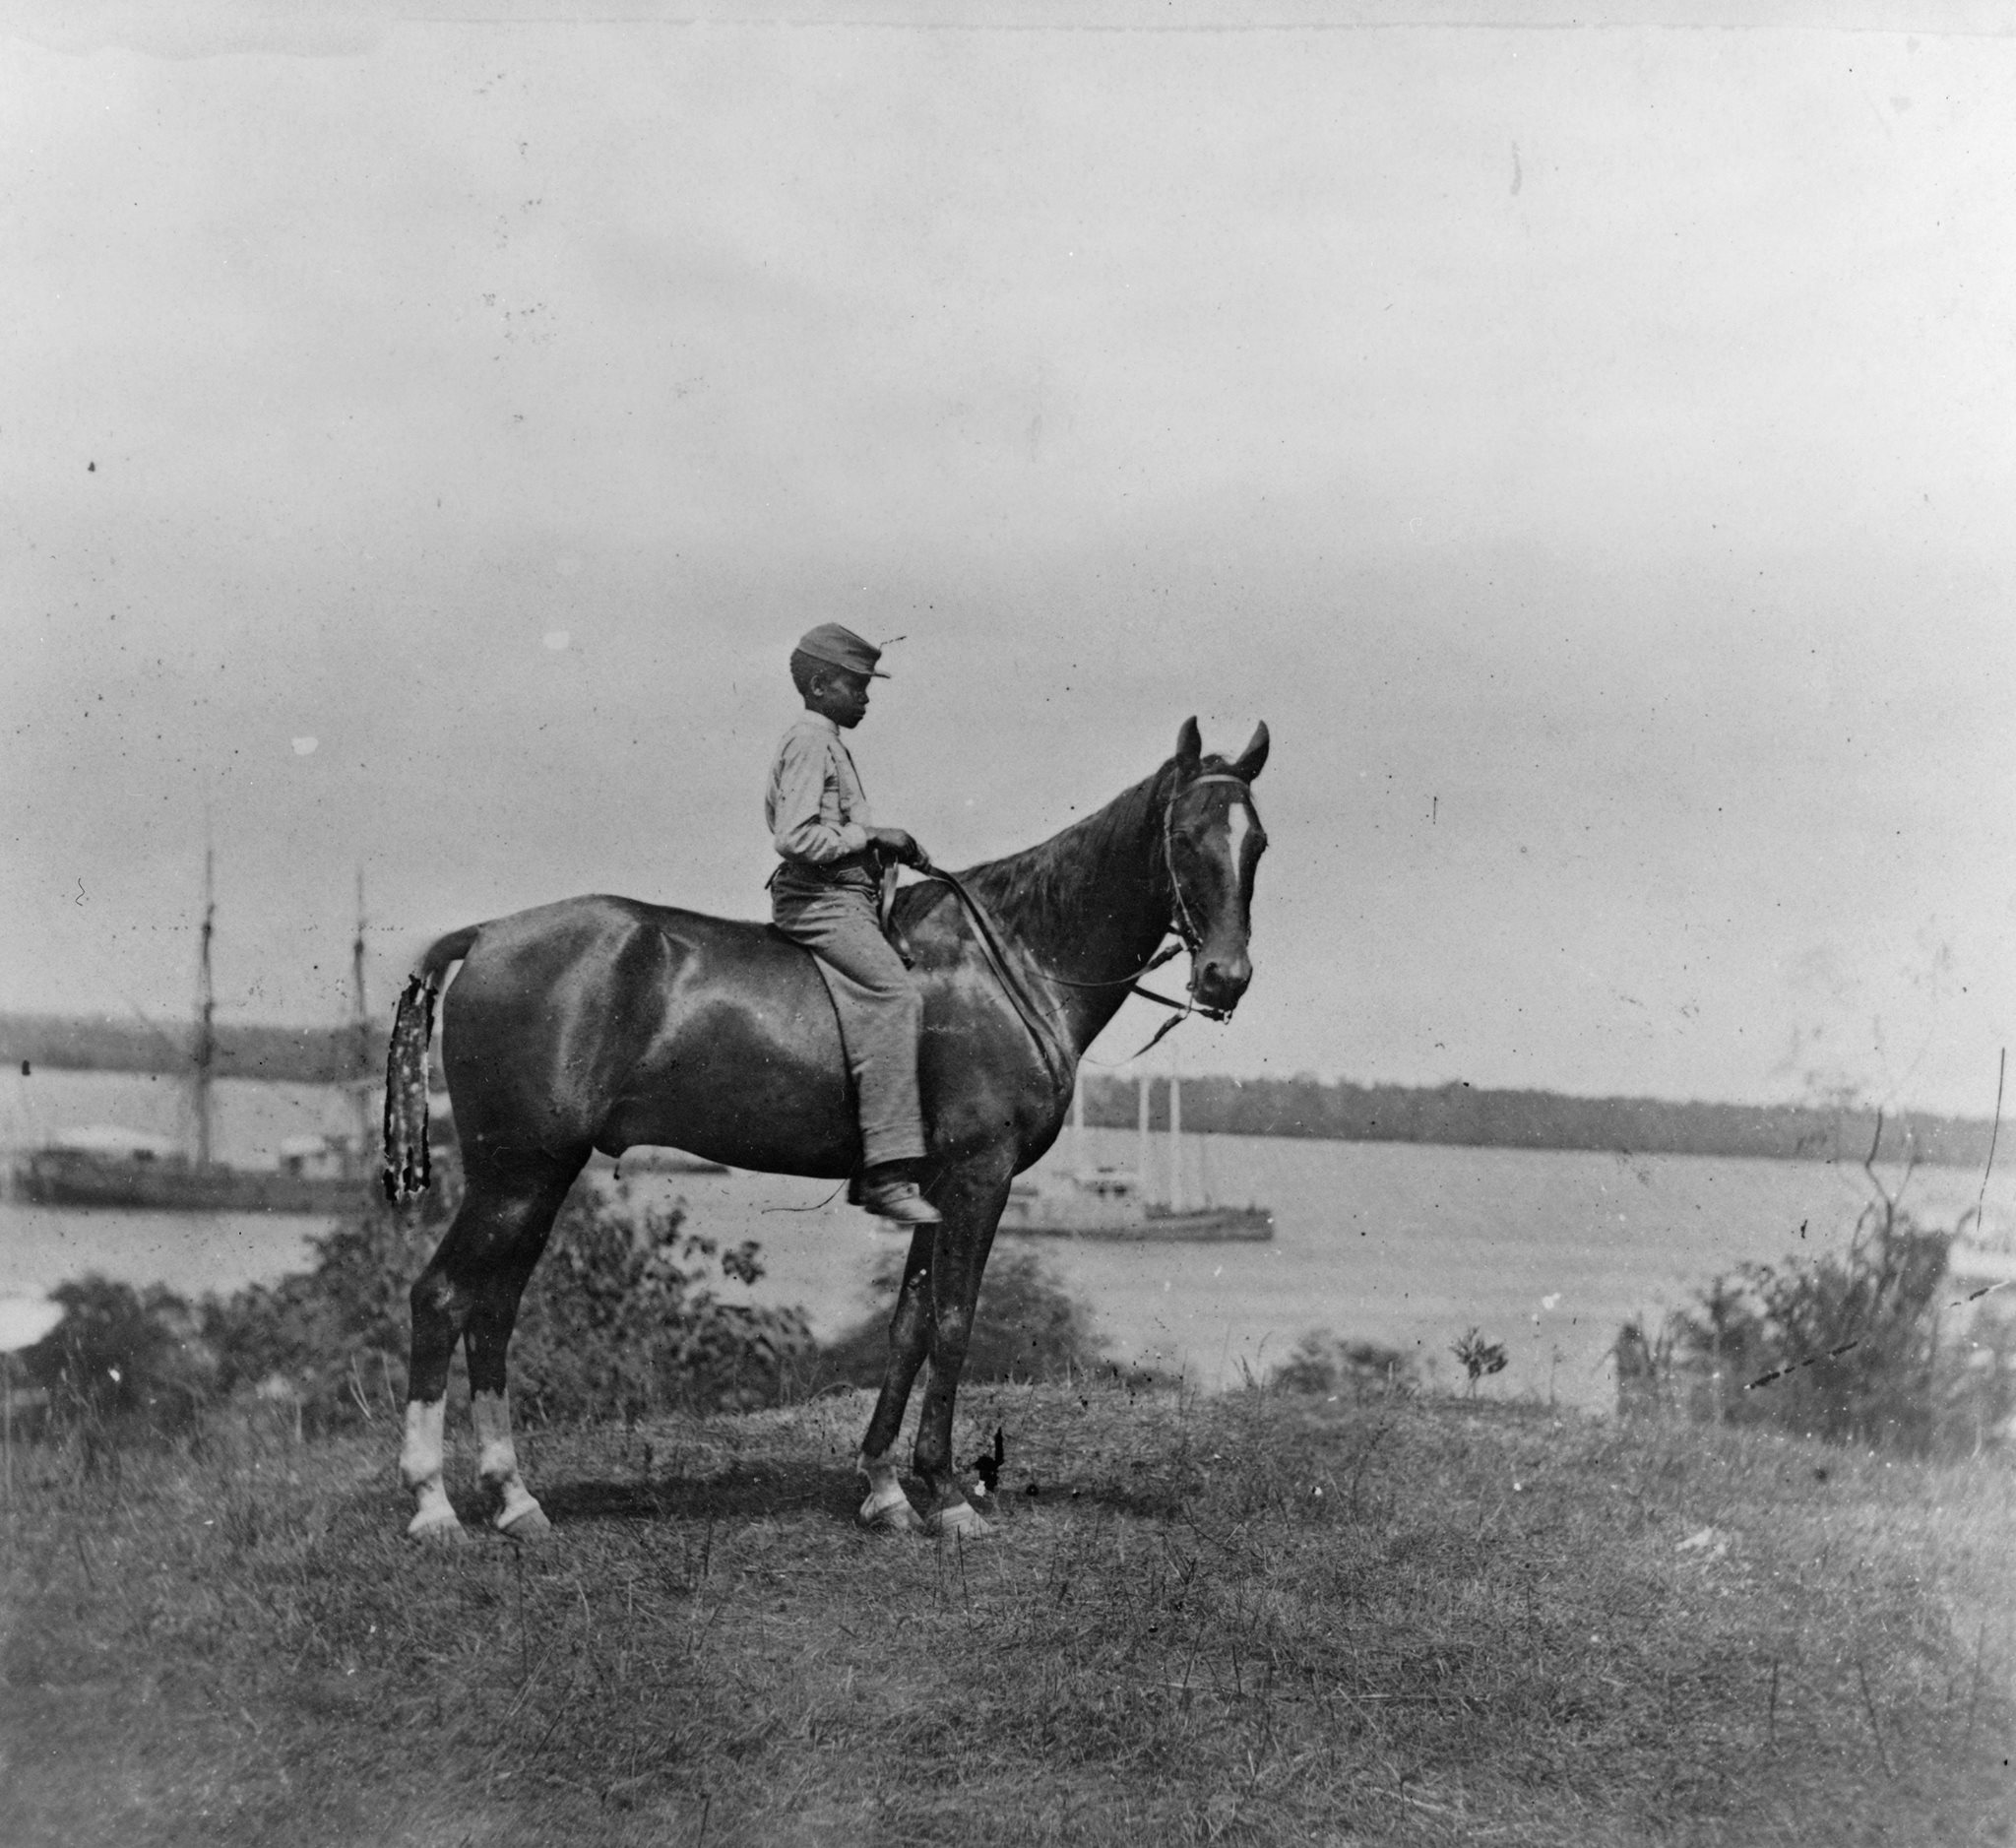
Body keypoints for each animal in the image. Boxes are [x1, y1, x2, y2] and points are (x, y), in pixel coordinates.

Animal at [381, 716, 1269, 1541]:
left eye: (1255, 841)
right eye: (1184, 837)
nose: (1225, 977)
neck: (1008, 962)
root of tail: (486, 934)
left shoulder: (932, 1188)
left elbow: (908, 1327)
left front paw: (884, 1487)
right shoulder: (980, 1178)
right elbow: (954, 1323)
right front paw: (948, 1495)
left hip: (537, 1177)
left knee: (492, 1310)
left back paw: (514, 1497)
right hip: (516, 1174)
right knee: (441, 1297)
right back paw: (432, 1504)